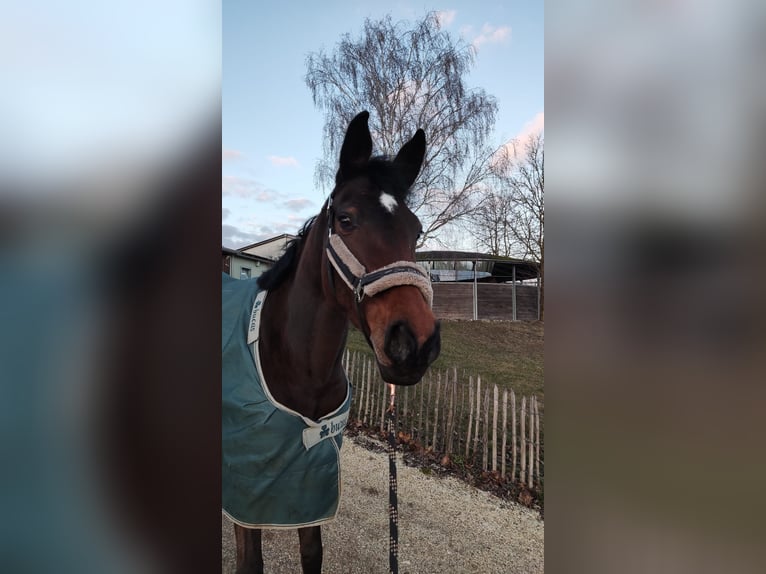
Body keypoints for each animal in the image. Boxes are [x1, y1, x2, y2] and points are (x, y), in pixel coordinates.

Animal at [222, 112, 440, 574]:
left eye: (416, 229)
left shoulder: (309, 477)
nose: (415, 342)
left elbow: (312, 553)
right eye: (346, 219)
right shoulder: (245, 487)